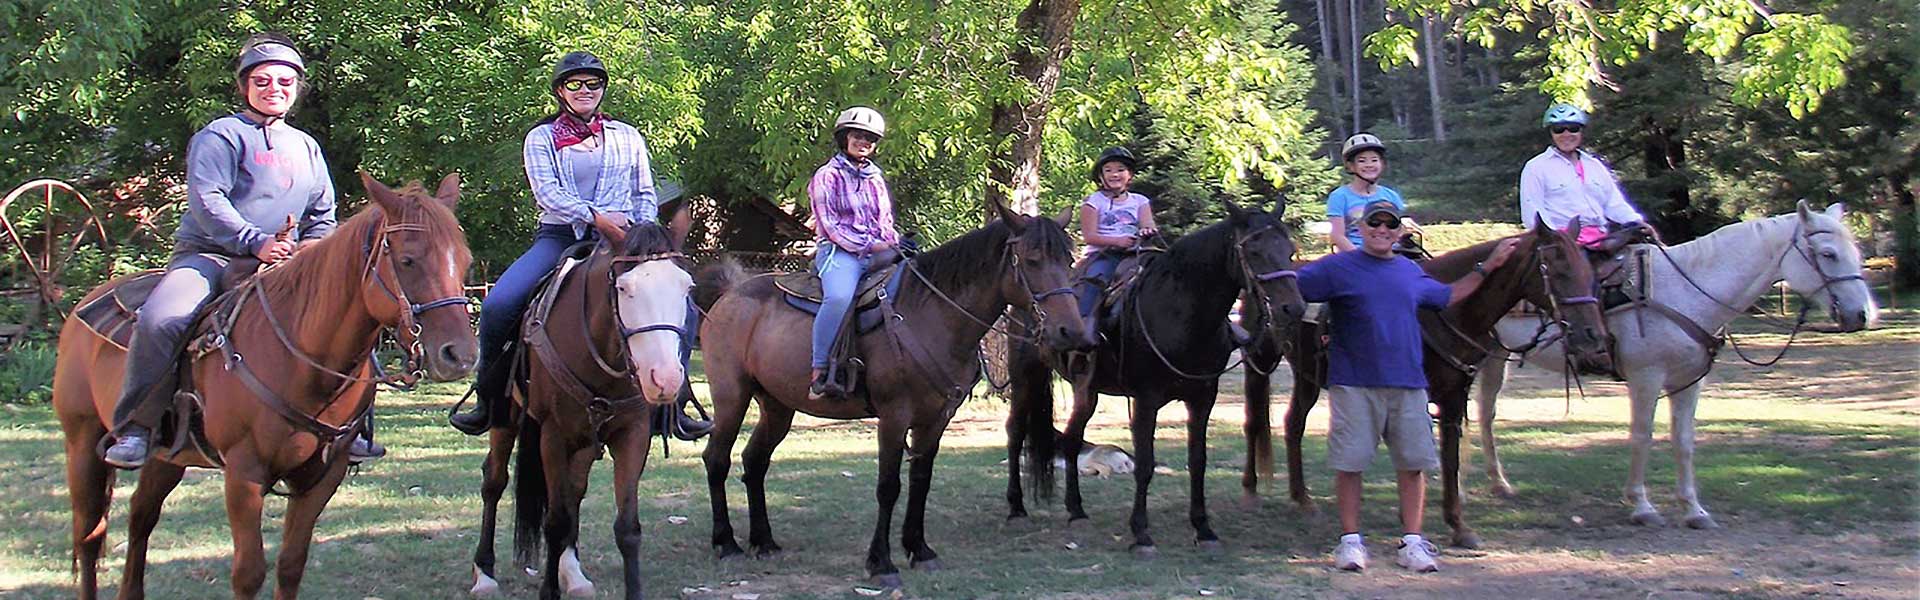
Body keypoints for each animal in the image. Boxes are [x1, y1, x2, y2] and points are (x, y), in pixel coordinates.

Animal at [56, 173, 476, 600]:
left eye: (465, 261)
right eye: (408, 260)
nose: (460, 354)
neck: (304, 358)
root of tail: (84, 306)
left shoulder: (321, 478)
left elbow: (290, 565)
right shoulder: (244, 474)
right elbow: (249, 573)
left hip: (166, 456)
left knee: (141, 516)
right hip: (82, 442)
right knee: (89, 534)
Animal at [466, 223, 691, 596]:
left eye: (687, 287)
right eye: (623, 287)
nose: (665, 379)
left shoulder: (633, 435)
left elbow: (627, 528)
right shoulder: (553, 436)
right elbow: (555, 521)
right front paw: (547, 591)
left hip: (586, 440)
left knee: (574, 492)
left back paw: (572, 573)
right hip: (506, 419)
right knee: (493, 481)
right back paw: (484, 574)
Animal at [702, 203, 1098, 588]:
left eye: (1068, 260)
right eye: (1031, 260)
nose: (1072, 332)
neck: (932, 316)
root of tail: (731, 295)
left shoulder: (936, 419)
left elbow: (921, 480)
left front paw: (919, 550)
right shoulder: (894, 417)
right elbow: (888, 486)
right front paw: (881, 562)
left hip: (777, 406)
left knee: (755, 461)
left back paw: (764, 542)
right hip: (731, 398)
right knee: (717, 459)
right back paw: (727, 543)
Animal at [998, 203, 1313, 553]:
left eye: (1289, 251)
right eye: (1254, 251)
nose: (1293, 308)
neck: (1180, 314)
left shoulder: (1203, 398)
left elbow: (1198, 461)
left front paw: (1204, 529)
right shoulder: (1146, 400)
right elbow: (1145, 465)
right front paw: (1141, 534)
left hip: (1087, 392)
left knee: (1071, 440)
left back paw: (1076, 511)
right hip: (1025, 376)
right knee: (1015, 431)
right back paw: (1016, 507)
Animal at [1466, 202, 1873, 530]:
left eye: (1855, 251)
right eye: (1827, 253)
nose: (1863, 314)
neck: (1684, 291)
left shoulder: (1690, 381)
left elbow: (1684, 440)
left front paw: (1693, 510)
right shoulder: (1645, 378)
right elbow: (1641, 436)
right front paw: (1642, 506)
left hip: (1495, 358)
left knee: (1486, 413)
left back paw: (1500, 484)